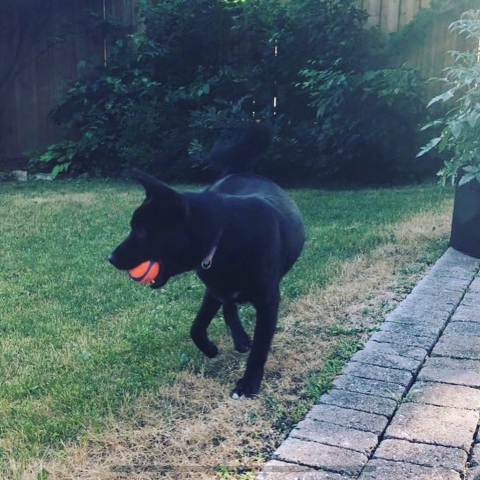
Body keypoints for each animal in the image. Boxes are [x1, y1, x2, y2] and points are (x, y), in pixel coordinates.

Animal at [108, 122, 305, 398]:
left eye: (143, 230)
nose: (110, 257)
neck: (223, 236)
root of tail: (240, 171)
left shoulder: (268, 299)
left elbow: (260, 346)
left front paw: (249, 383)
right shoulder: (213, 288)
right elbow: (196, 327)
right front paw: (210, 349)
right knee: (229, 308)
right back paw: (240, 338)